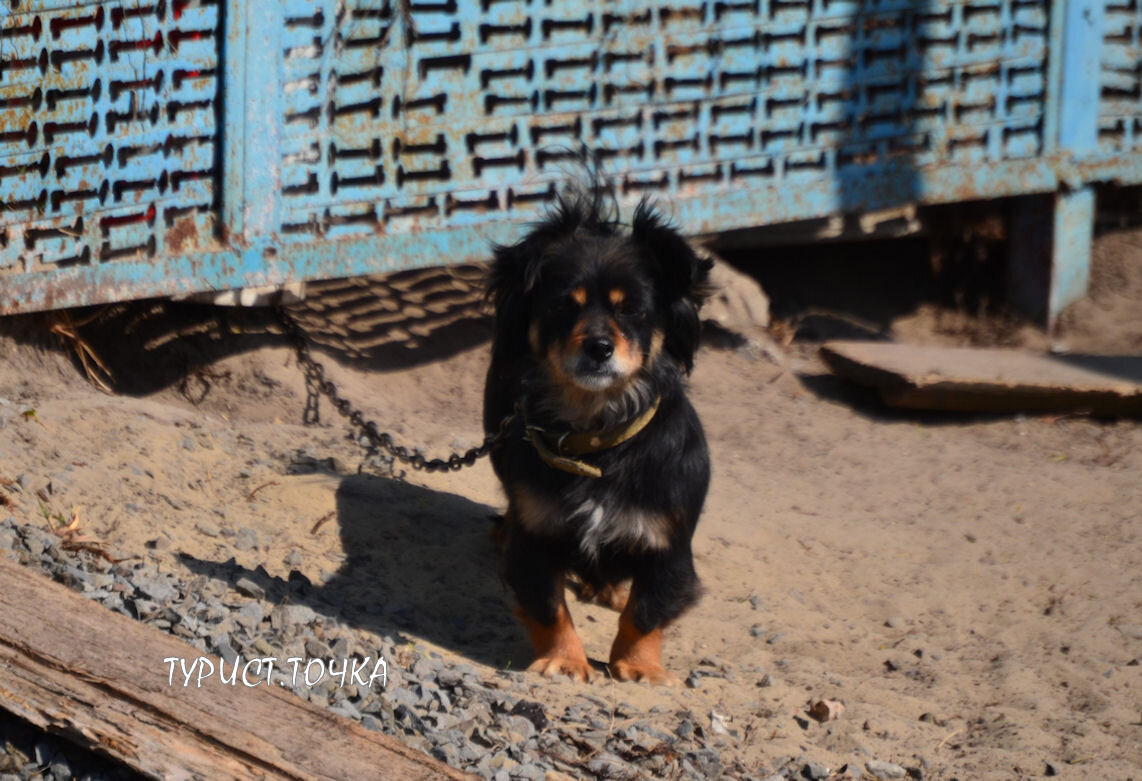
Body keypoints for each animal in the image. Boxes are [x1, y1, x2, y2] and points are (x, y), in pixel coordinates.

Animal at [484, 187, 712, 685]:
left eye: (632, 310)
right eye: (562, 306)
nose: (599, 347)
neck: (598, 441)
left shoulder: (668, 550)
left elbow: (644, 613)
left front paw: (640, 667)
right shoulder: (536, 538)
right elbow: (548, 607)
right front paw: (566, 662)